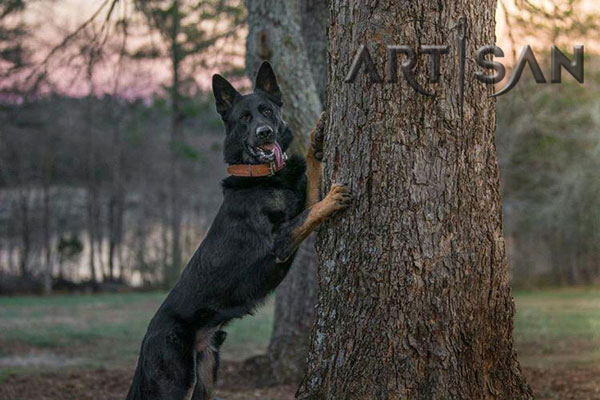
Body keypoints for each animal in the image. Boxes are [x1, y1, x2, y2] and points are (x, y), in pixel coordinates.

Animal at [126, 61, 352, 398]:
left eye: (267, 111)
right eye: (244, 118)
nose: (264, 133)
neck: (258, 174)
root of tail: (145, 343)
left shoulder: (299, 204)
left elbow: (312, 184)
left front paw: (315, 138)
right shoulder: (281, 241)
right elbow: (310, 213)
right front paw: (333, 198)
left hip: (206, 377)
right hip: (174, 382)